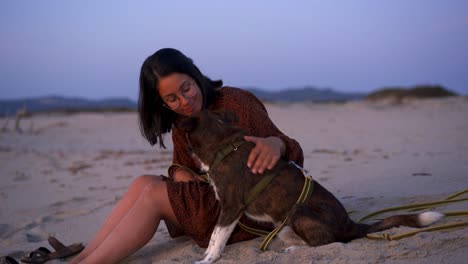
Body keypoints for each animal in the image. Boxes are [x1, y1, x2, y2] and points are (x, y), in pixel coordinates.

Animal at [176, 110, 442, 264]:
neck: (223, 145)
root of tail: (351, 225)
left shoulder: (231, 207)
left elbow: (216, 237)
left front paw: (208, 259)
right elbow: (214, 237)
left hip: (298, 212)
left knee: (328, 243)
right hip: (283, 226)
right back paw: (293, 249)